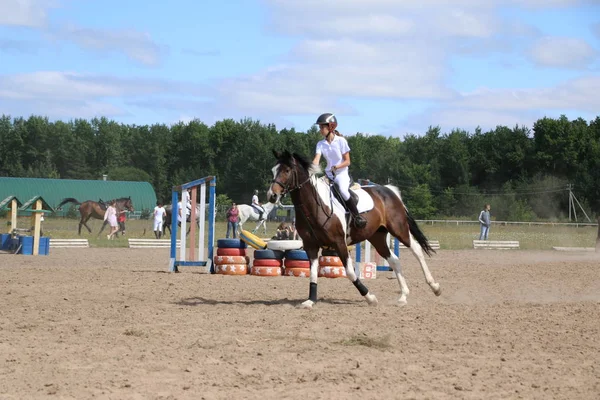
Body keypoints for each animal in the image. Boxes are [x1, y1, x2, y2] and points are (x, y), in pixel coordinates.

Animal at [268, 150, 440, 310]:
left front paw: (370, 297)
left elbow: (350, 272)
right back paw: (403, 297)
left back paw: (435, 287)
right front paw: (310, 301)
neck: (315, 207)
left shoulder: (339, 243)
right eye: (273, 170)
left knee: (416, 250)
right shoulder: (311, 246)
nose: (272, 195)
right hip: (377, 237)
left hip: (399, 229)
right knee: (395, 260)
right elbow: (313, 273)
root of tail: (389, 191)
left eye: (287, 170)